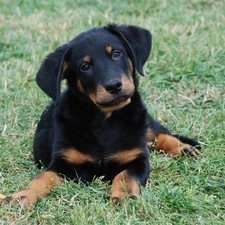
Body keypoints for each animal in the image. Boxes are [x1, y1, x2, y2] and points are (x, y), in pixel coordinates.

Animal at [0, 24, 200, 207]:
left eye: (116, 54)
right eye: (85, 66)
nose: (114, 86)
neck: (104, 119)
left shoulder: (138, 159)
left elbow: (126, 175)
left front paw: (123, 195)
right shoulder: (62, 164)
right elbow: (42, 178)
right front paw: (22, 196)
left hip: (143, 120)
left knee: (159, 133)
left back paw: (184, 148)